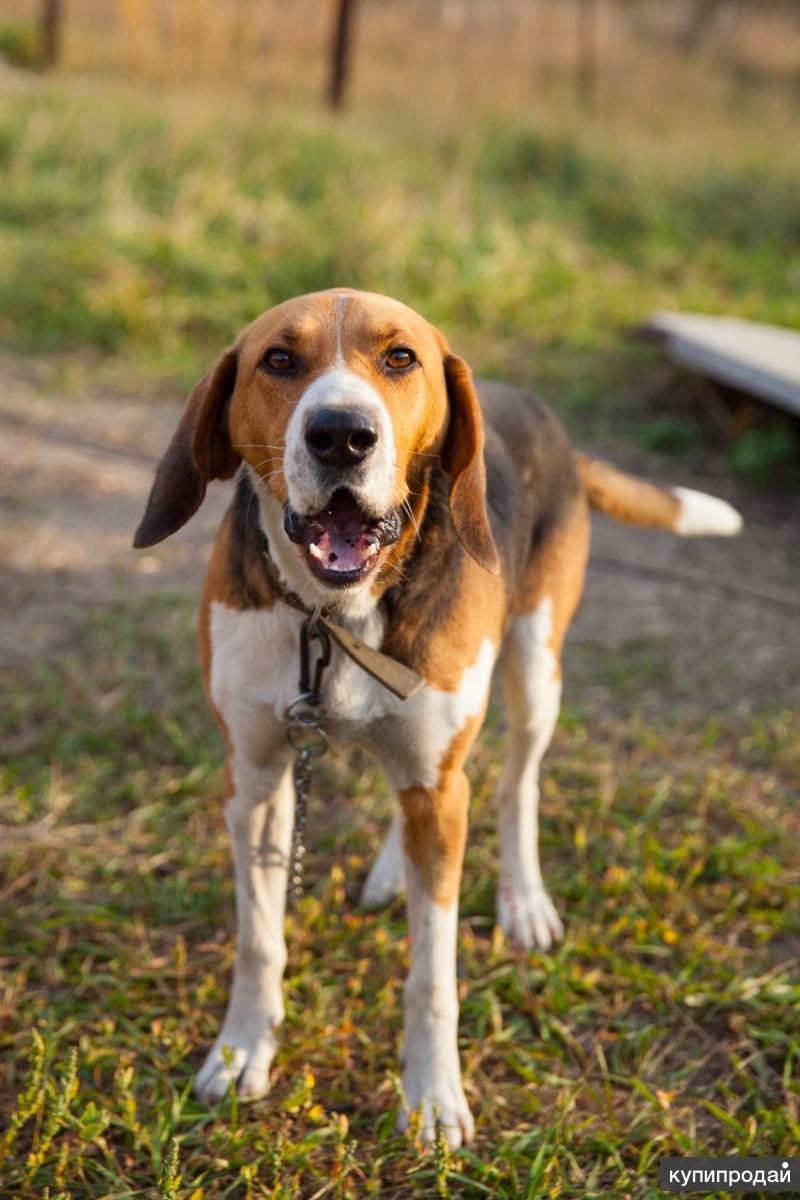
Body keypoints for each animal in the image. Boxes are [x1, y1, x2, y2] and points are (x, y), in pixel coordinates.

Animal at [134, 285, 743, 1147]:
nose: (341, 435)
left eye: (400, 358)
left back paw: (524, 901)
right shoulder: (253, 778)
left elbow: (432, 975)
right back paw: (396, 869)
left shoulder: (440, 780)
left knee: (515, 786)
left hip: (533, 671)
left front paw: (430, 1097)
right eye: (278, 360)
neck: (338, 617)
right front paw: (244, 1049)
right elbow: (259, 941)